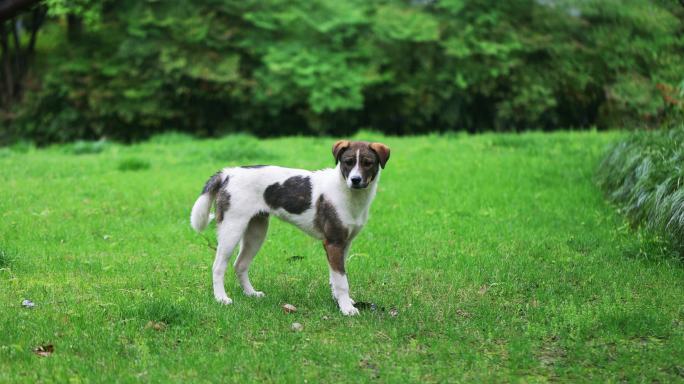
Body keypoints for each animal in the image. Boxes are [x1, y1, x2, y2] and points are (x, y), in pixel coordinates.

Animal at [190, 141, 390, 316]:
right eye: (348, 162)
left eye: (368, 163)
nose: (355, 180)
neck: (346, 192)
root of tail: (228, 173)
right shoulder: (333, 243)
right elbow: (342, 281)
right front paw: (347, 308)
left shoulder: (344, 244)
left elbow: (335, 278)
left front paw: (340, 302)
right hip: (231, 230)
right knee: (218, 267)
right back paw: (221, 298)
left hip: (256, 233)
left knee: (240, 265)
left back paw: (251, 293)